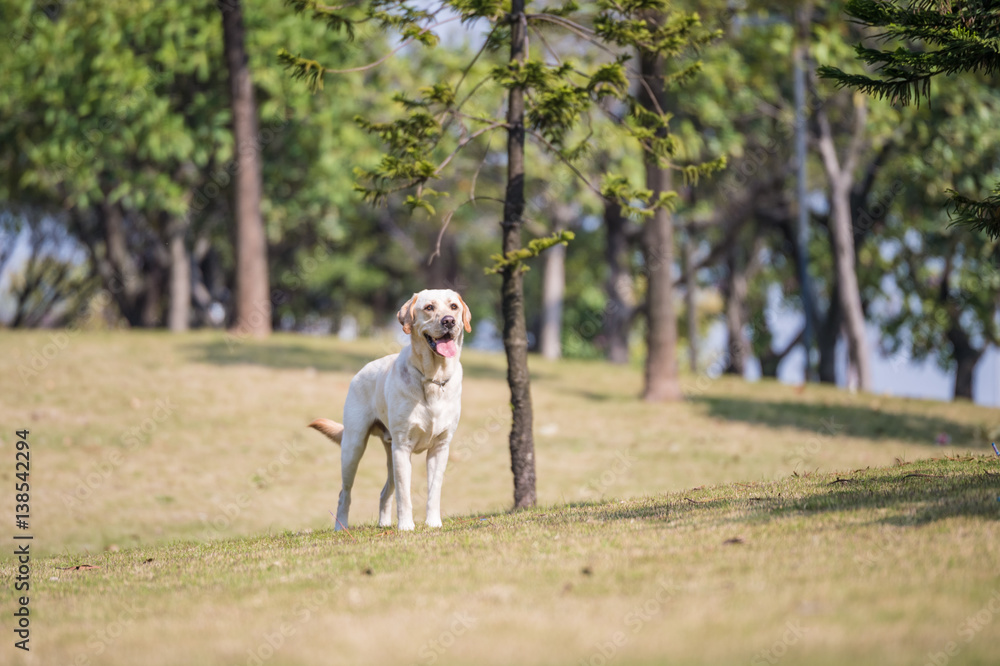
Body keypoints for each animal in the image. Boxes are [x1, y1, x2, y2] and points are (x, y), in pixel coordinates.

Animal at [306, 290, 470, 528]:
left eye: (454, 306)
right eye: (429, 307)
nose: (449, 321)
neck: (433, 378)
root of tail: (360, 371)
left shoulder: (440, 447)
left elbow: (434, 491)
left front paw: (433, 523)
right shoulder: (402, 447)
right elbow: (404, 494)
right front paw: (406, 526)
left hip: (389, 453)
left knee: (384, 492)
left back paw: (384, 524)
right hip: (354, 447)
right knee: (344, 493)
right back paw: (341, 527)